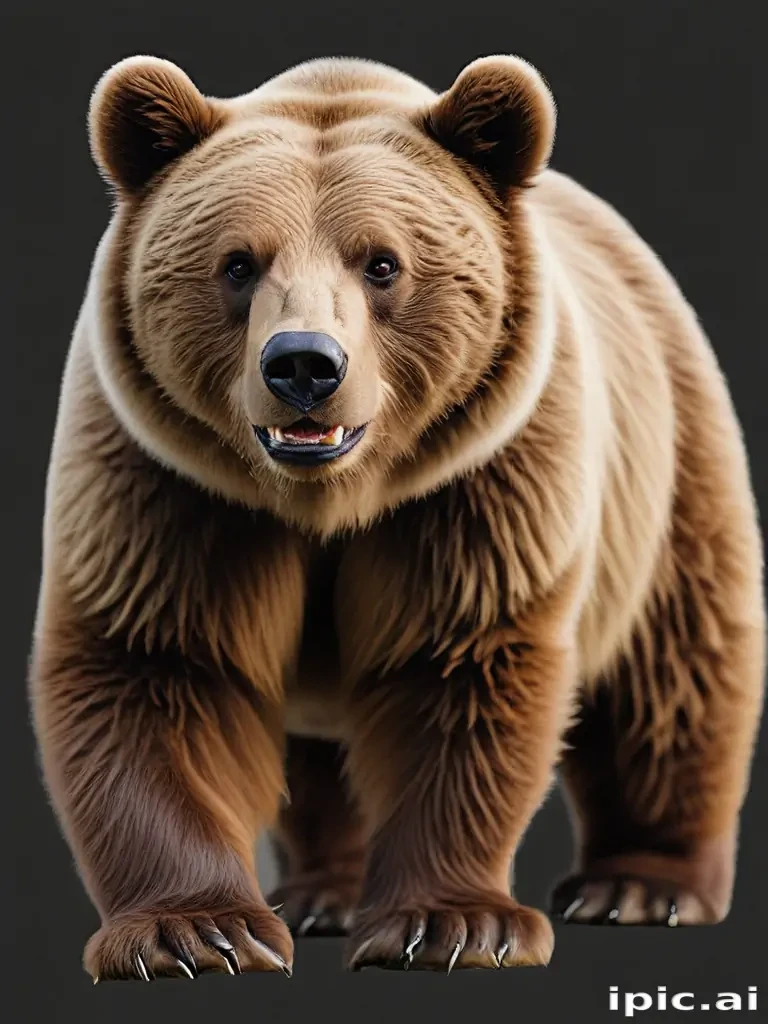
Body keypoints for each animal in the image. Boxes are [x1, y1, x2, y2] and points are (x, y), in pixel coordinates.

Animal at [30, 51, 765, 981]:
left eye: (382, 263)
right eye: (237, 263)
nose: (304, 364)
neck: (327, 501)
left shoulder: (479, 488)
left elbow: (456, 670)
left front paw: (450, 925)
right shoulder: (170, 491)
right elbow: (157, 666)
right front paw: (197, 933)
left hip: (667, 462)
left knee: (673, 674)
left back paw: (640, 886)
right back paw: (322, 896)